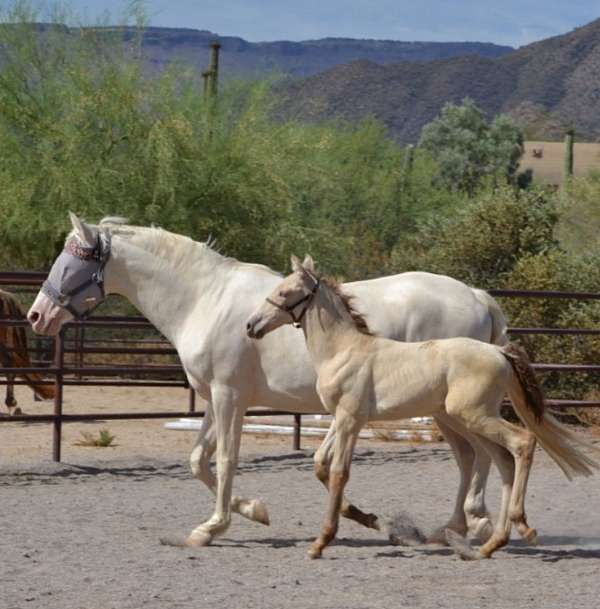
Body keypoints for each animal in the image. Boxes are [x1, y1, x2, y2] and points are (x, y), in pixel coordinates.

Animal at [30, 215, 508, 548]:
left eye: (70, 262)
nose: (37, 316)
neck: (204, 299)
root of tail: (476, 296)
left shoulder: (229, 397)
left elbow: (225, 461)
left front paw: (212, 528)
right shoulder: (214, 400)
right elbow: (197, 461)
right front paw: (255, 511)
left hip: (446, 409)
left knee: (478, 456)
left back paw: (473, 523)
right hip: (443, 410)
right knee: (472, 456)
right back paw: (455, 526)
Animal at [245, 254, 600, 560]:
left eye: (285, 292)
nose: (251, 325)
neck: (344, 349)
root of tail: (500, 353)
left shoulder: (349, 419)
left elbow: (338, 472)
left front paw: (321, 542)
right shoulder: (344, 419)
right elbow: (323, 464)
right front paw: (366, 519)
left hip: (474, 415)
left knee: (521, 443)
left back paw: (519, 528)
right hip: (467, 417)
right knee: (498, 458)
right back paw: (489, 542)